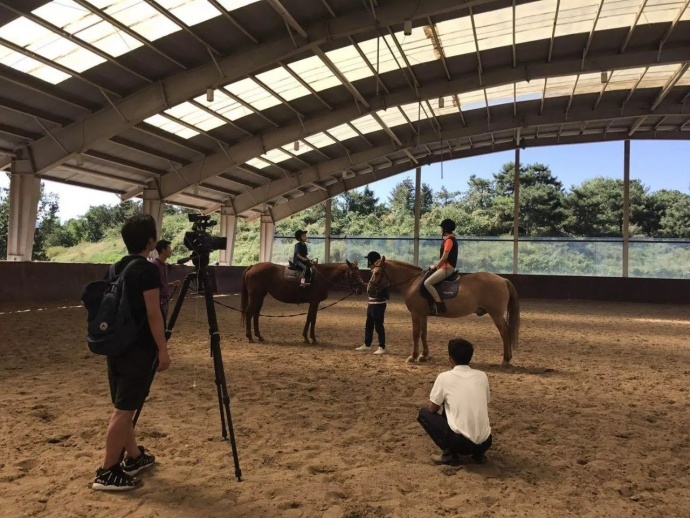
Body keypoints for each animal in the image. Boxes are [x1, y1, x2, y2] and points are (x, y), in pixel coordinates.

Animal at [366, 258, 516, 366]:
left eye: (377, 273)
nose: (369, 290)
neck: (413, 282)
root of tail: (503, 279)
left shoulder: (416, 314)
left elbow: (415, 334)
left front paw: (413, 357)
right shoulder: (423, 315)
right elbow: (423, 334)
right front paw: (423, 355)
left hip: (496, 315)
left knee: (505, 333)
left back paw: (505, 360)